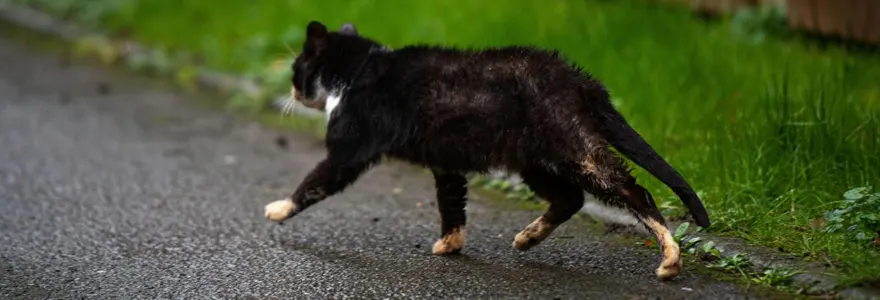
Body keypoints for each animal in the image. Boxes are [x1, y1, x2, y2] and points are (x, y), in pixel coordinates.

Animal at [264, 21, 712, 282]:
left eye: (297, 69)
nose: (291, 90)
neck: (358, 73)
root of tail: (582, 80)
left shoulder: (349, 152)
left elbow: (314, 183)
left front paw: (278, 209)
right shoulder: (445, 162)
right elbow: (451, 204)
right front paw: (450, 244)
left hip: (574, 149)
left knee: (635, 192)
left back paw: (670, 260)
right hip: (536, 160)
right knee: (571, 198)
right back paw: (528, 238)